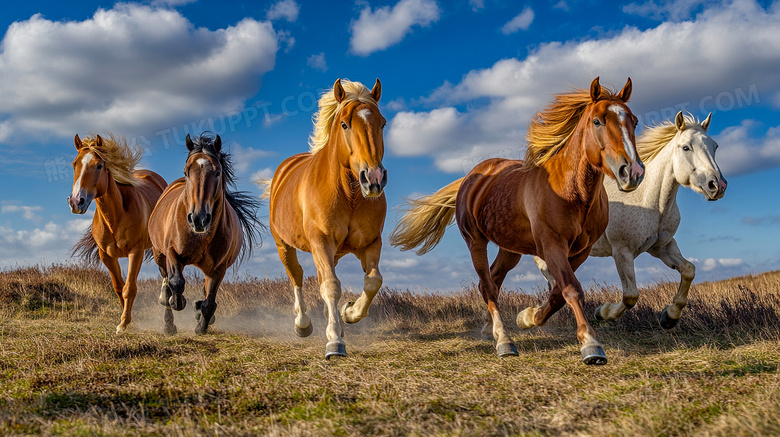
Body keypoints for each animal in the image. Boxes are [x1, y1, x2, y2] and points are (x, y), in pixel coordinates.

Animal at [70, 133, 168, 334]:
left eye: (99, 165)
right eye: (74, 164)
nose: (76, 202)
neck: (115, 218)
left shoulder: (136, 252)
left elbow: (129, 288)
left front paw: (123, 324)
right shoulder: (106, 256)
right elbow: (118, 287)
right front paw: (128, 320)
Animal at [148, 133, 264, 334]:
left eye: (217, 173)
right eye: (186, 171)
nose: (199, 219)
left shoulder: (218, 268)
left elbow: (209, 303)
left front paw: (200, 326)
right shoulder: (171, 252)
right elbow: (176, 282)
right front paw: (177, 301)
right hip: (158, 254)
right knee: (166, 280)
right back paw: (169, 321)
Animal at [258, 79, 388, 358]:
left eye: (382, 123)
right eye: (344, 124)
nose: (373, 179)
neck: (349, 194)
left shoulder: (371, 243)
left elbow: (373, 281)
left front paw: (349, 313)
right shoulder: (321, 241)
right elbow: (330, 286)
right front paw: (335, 342)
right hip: (284, 246)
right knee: (296, 275)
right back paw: (303, 324)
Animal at [394, 76, 644, 362]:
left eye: (634, 120)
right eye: (597, 121)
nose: (632, 172)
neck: (573, 191)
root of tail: (471, 177)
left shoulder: (581, 251)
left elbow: (558, 294)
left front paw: (528, 317)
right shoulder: (552, 244)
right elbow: (571, 288)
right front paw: (591, 345)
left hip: (510, 250)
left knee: (492, 280)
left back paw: (490, 330)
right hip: (475, 241)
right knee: (488, 286)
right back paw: (504, 341)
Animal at [532, 110, 728, 328]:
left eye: (715, 146)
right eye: (686, 147)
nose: (717, 185)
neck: (650, 201)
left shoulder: (662, 246)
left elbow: (688, 270)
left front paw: (669, 316)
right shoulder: (622, 251)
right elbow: (631, 296)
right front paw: (602, 312)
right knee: (551, 278)